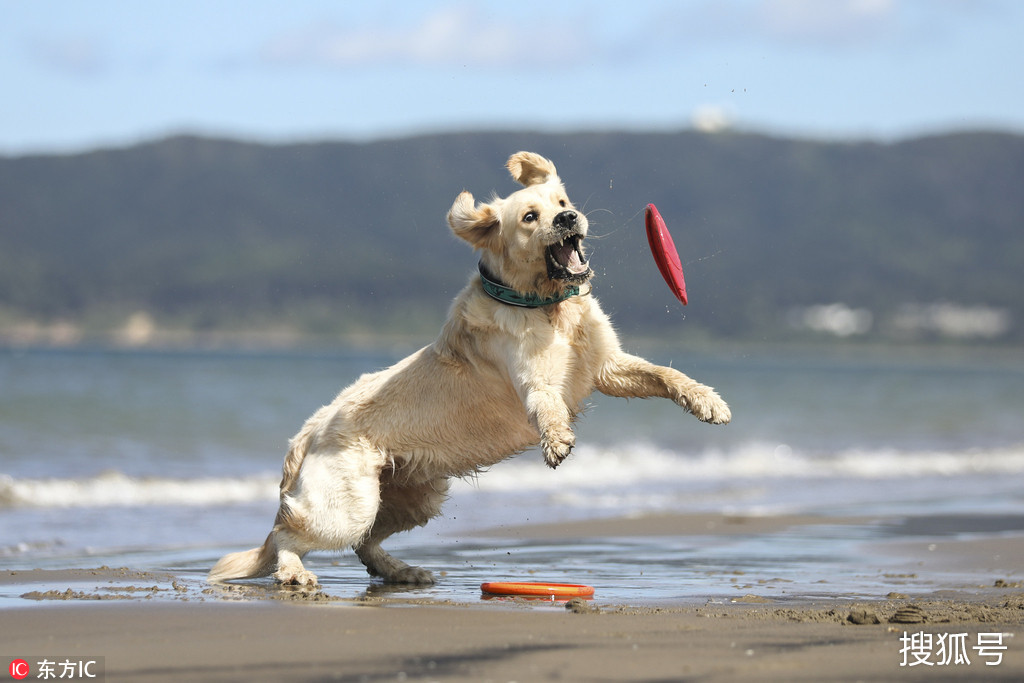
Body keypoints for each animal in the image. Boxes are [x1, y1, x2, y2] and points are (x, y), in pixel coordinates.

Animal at [207, 153, 729, 589]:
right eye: (530, 217)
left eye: (562, 203)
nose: (568, 219)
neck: (547, 306)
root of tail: (310, 429)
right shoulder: (530, 377)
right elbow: (545, 401)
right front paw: (557, 438)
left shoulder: (608, 366)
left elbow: (665, 374)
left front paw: (709, 402)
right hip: (349, 504)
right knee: (288, 536)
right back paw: (296, 573)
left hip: (414, 496)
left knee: (364, 543)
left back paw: (401, 571)